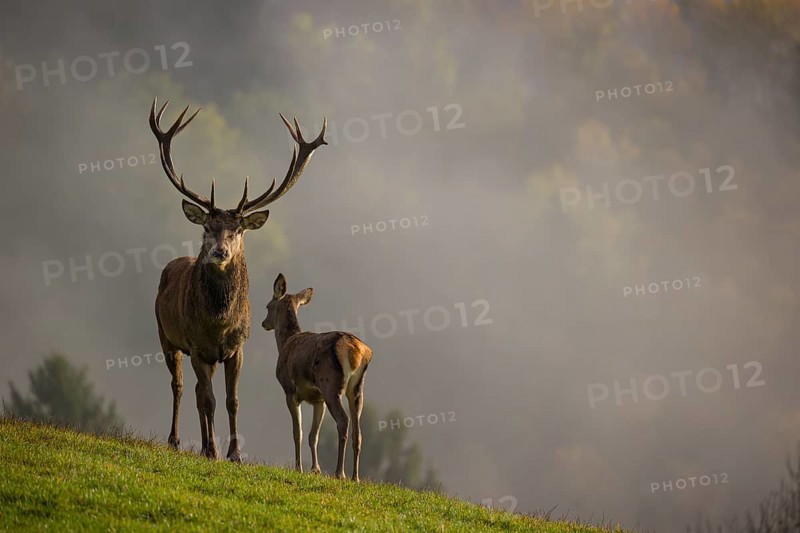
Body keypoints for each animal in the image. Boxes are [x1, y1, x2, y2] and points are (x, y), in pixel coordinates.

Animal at [149, 98, 327, 461]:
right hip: (165, 335)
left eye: (238, 230)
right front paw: (216, 450)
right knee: (181, 387)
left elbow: (231, 401)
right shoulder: (197, 346)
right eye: (208, 227)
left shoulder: (236, 347)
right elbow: (209, 400)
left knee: (198, 393)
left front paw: (234, 453)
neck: (218, 322)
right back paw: (177, 440)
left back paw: (204, 443)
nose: (220, 251)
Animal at [262, 273, 373, 481]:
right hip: (356, 389)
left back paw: (340, 473)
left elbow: (298, 432)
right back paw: (355, 476)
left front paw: (298, 467)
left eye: (267, 306)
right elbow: (314, 435)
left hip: (330, 383)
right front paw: (315, 469)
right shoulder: (317, 399)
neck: (286, 342)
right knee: (358, 431)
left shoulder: (290, 391)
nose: (264, 323)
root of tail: (358, 351)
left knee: (343, 421)